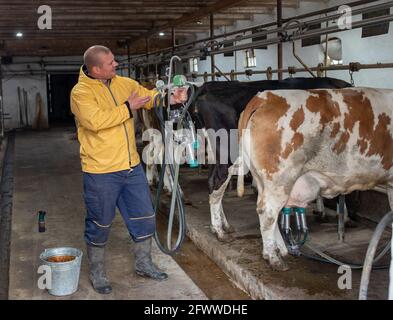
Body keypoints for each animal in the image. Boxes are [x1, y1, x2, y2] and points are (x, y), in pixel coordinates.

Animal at [236, 87, 392, 270]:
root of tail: (265, 96)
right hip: (280, 179)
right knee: (267, 212)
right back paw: (274, 258)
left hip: (263, 179)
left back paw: (280, 250)